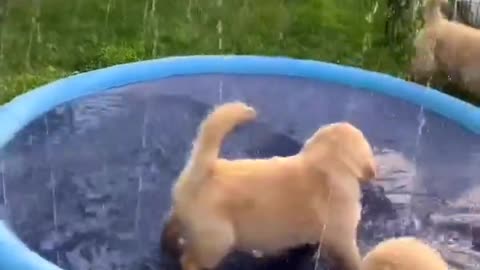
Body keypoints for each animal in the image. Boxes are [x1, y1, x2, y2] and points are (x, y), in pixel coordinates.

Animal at [163, 102, 376, 270]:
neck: (324, 168)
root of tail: (202, 171)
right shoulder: (342, 239)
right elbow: (352, 260)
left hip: (185, 217)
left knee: (171, 228)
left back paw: (169, 244)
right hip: (217, 240)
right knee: (190, 261)